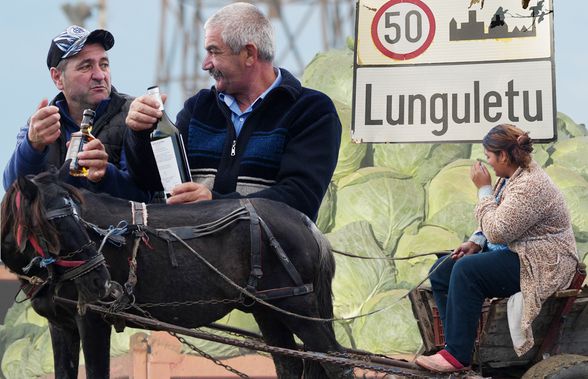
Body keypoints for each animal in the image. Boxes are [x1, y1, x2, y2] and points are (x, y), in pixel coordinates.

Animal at [1, 170, 354, 379]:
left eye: (75, 219)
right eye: (50, 226)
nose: (101, 283)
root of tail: (306, 224)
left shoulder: (92, 321)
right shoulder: (61, 326)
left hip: (298, 309)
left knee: (338, 363)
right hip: (268, 310)